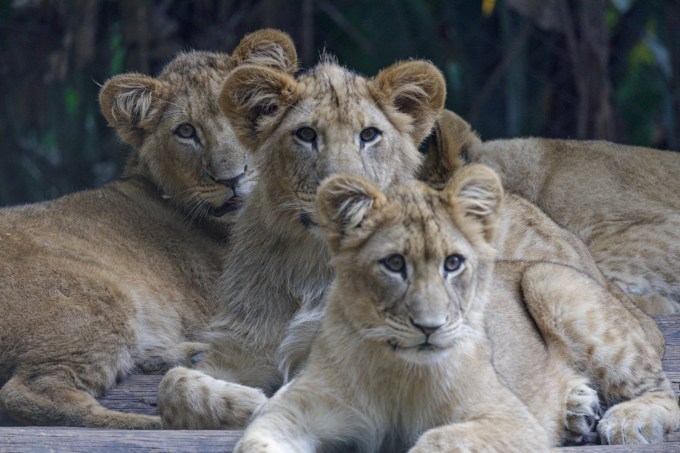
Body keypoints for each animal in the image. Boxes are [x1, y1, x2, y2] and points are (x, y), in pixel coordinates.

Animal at [156, 56, 448, 429]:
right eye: (306, 135)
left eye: (369, 135)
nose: (345, 192)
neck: (310, 260)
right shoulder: (240, 344)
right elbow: (173, 383)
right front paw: (247, 402)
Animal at [234, 168, 679, 453]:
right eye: (393, 264)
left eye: (453, 264)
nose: (429, 325)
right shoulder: (299, 405)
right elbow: (258, 435)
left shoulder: (509, 421)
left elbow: (442, 438)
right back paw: (577, 410)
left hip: (549, 280)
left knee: (664, 392)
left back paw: (625, 420)